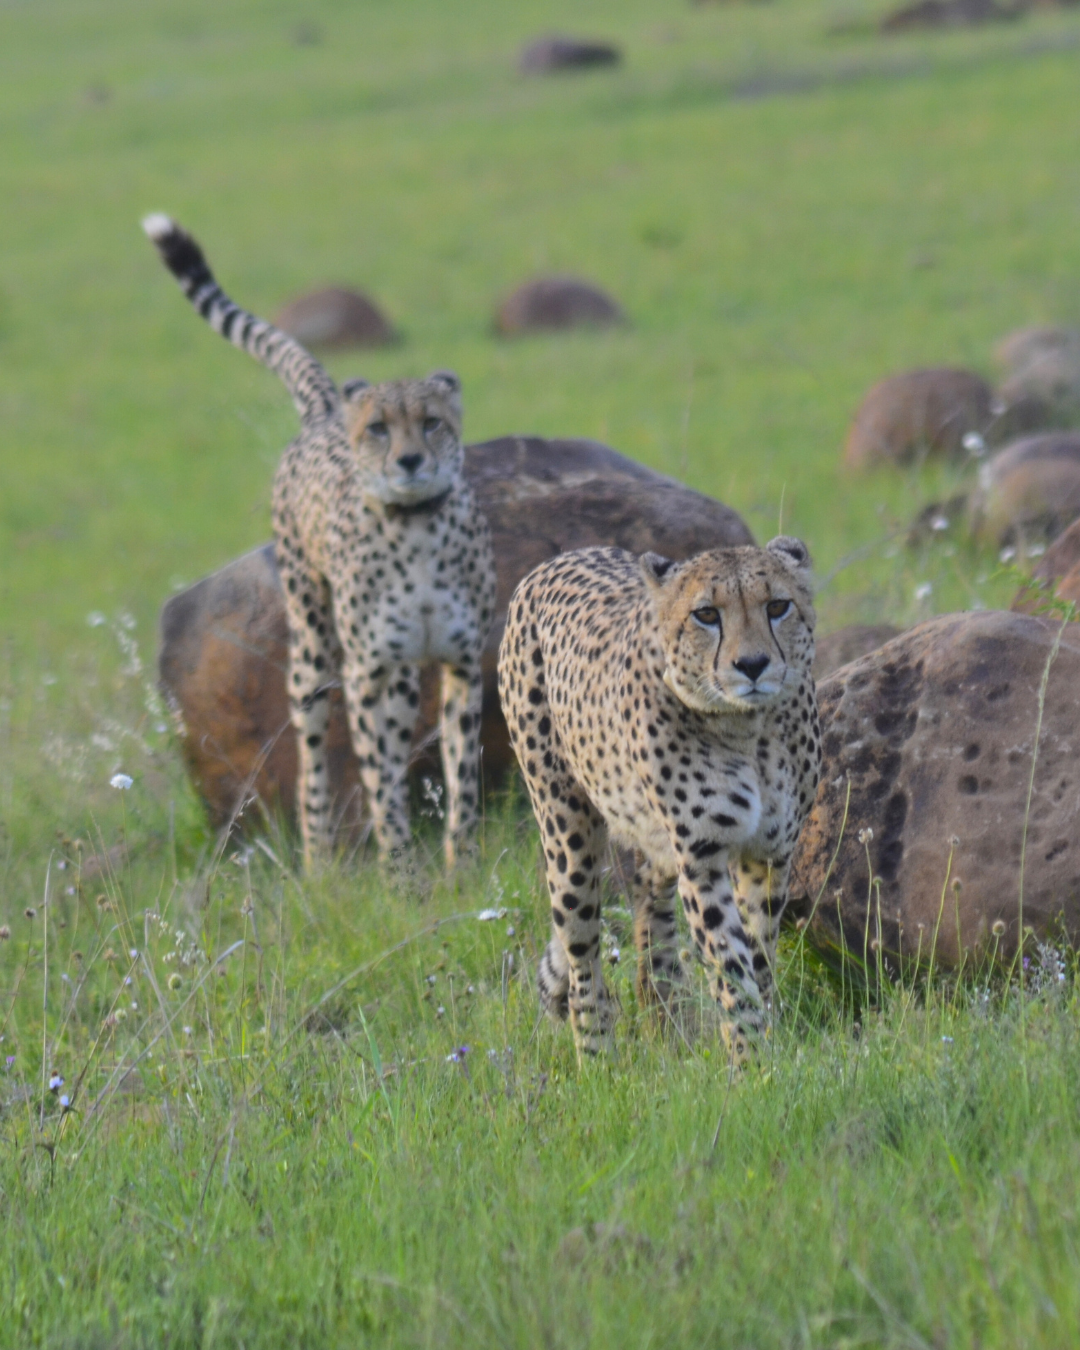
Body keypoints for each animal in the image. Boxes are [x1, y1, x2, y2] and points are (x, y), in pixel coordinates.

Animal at [143, 215, 496, 868]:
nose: (409, 461)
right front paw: (400, 872)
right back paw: (318, 862)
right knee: (312, 759)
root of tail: (328, 410)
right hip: (311, 649)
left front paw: (462, 866)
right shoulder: (366, 674)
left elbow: (462, 774)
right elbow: (380, 778)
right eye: (378, 429)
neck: (416, 528)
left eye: (432, 422)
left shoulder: (460, 664)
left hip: (402, 673)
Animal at [498, 537, 821, 1064]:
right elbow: (731, 967)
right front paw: (751, 1061)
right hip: (566, 833)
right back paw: (598, 1057)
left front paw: (768, 1044)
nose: (752, 666)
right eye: (706, 614)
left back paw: (666, 1014)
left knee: (650, 902)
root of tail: (557, 560)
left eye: (778, 606)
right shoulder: (701, 856)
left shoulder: (769, 853)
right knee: (581, 949)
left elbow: (758, 954)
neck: (749, 728)